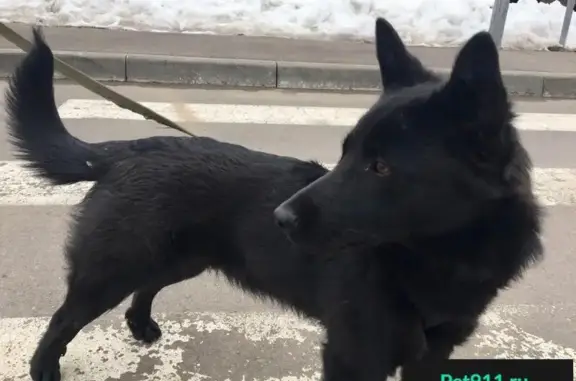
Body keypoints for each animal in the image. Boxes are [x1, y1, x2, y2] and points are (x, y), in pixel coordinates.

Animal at [6, 17, 544, 380]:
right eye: (346, 153)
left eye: (381, 166)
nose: (279, 218)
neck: (438, 262)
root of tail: (131, 147)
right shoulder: (352, 356)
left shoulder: (433, 355)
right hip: (112, 268)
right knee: (64, 318)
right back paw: (45, 367)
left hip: (180, 258)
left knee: (146, 286)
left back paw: (140, 324)